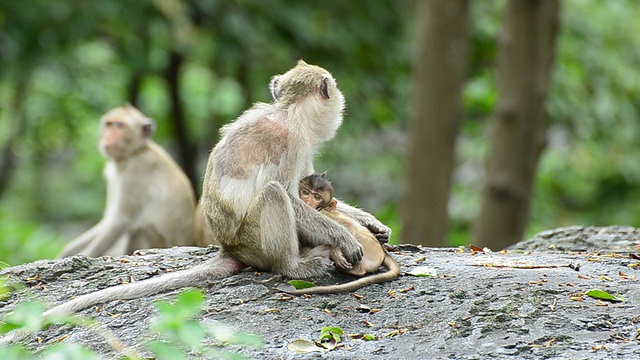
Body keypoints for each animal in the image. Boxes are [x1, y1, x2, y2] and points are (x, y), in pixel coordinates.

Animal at [58, 105, 196, 258]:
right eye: (109, 124)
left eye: (120, 125)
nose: (108, 136)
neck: (134, 153)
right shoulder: (114, 177)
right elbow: (108, 218)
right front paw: (67, 252)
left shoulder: (136, 172)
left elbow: (120, 220)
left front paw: (85, 255)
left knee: (140, 230)